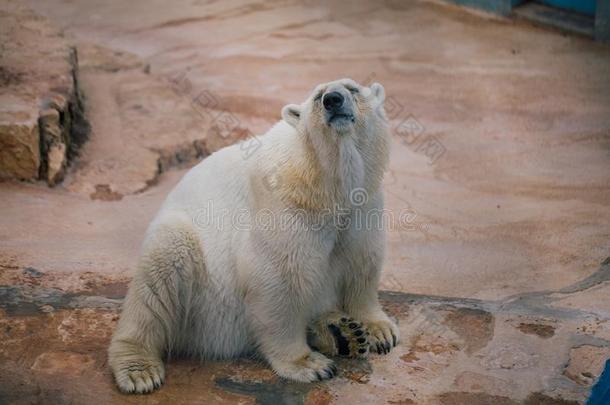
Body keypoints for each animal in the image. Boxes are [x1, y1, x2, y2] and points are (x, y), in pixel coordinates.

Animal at [109, 78, 400, 392]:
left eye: (352, 88)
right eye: (317, 97)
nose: (333, 100)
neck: (325, 186)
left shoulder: (363, 204)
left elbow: (362, 261)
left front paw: (380, 330)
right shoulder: (284, 205)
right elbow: (278, 277)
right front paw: (308, 364)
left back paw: (342, 333)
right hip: (200, 288)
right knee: (159, 277)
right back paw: (139, 369)